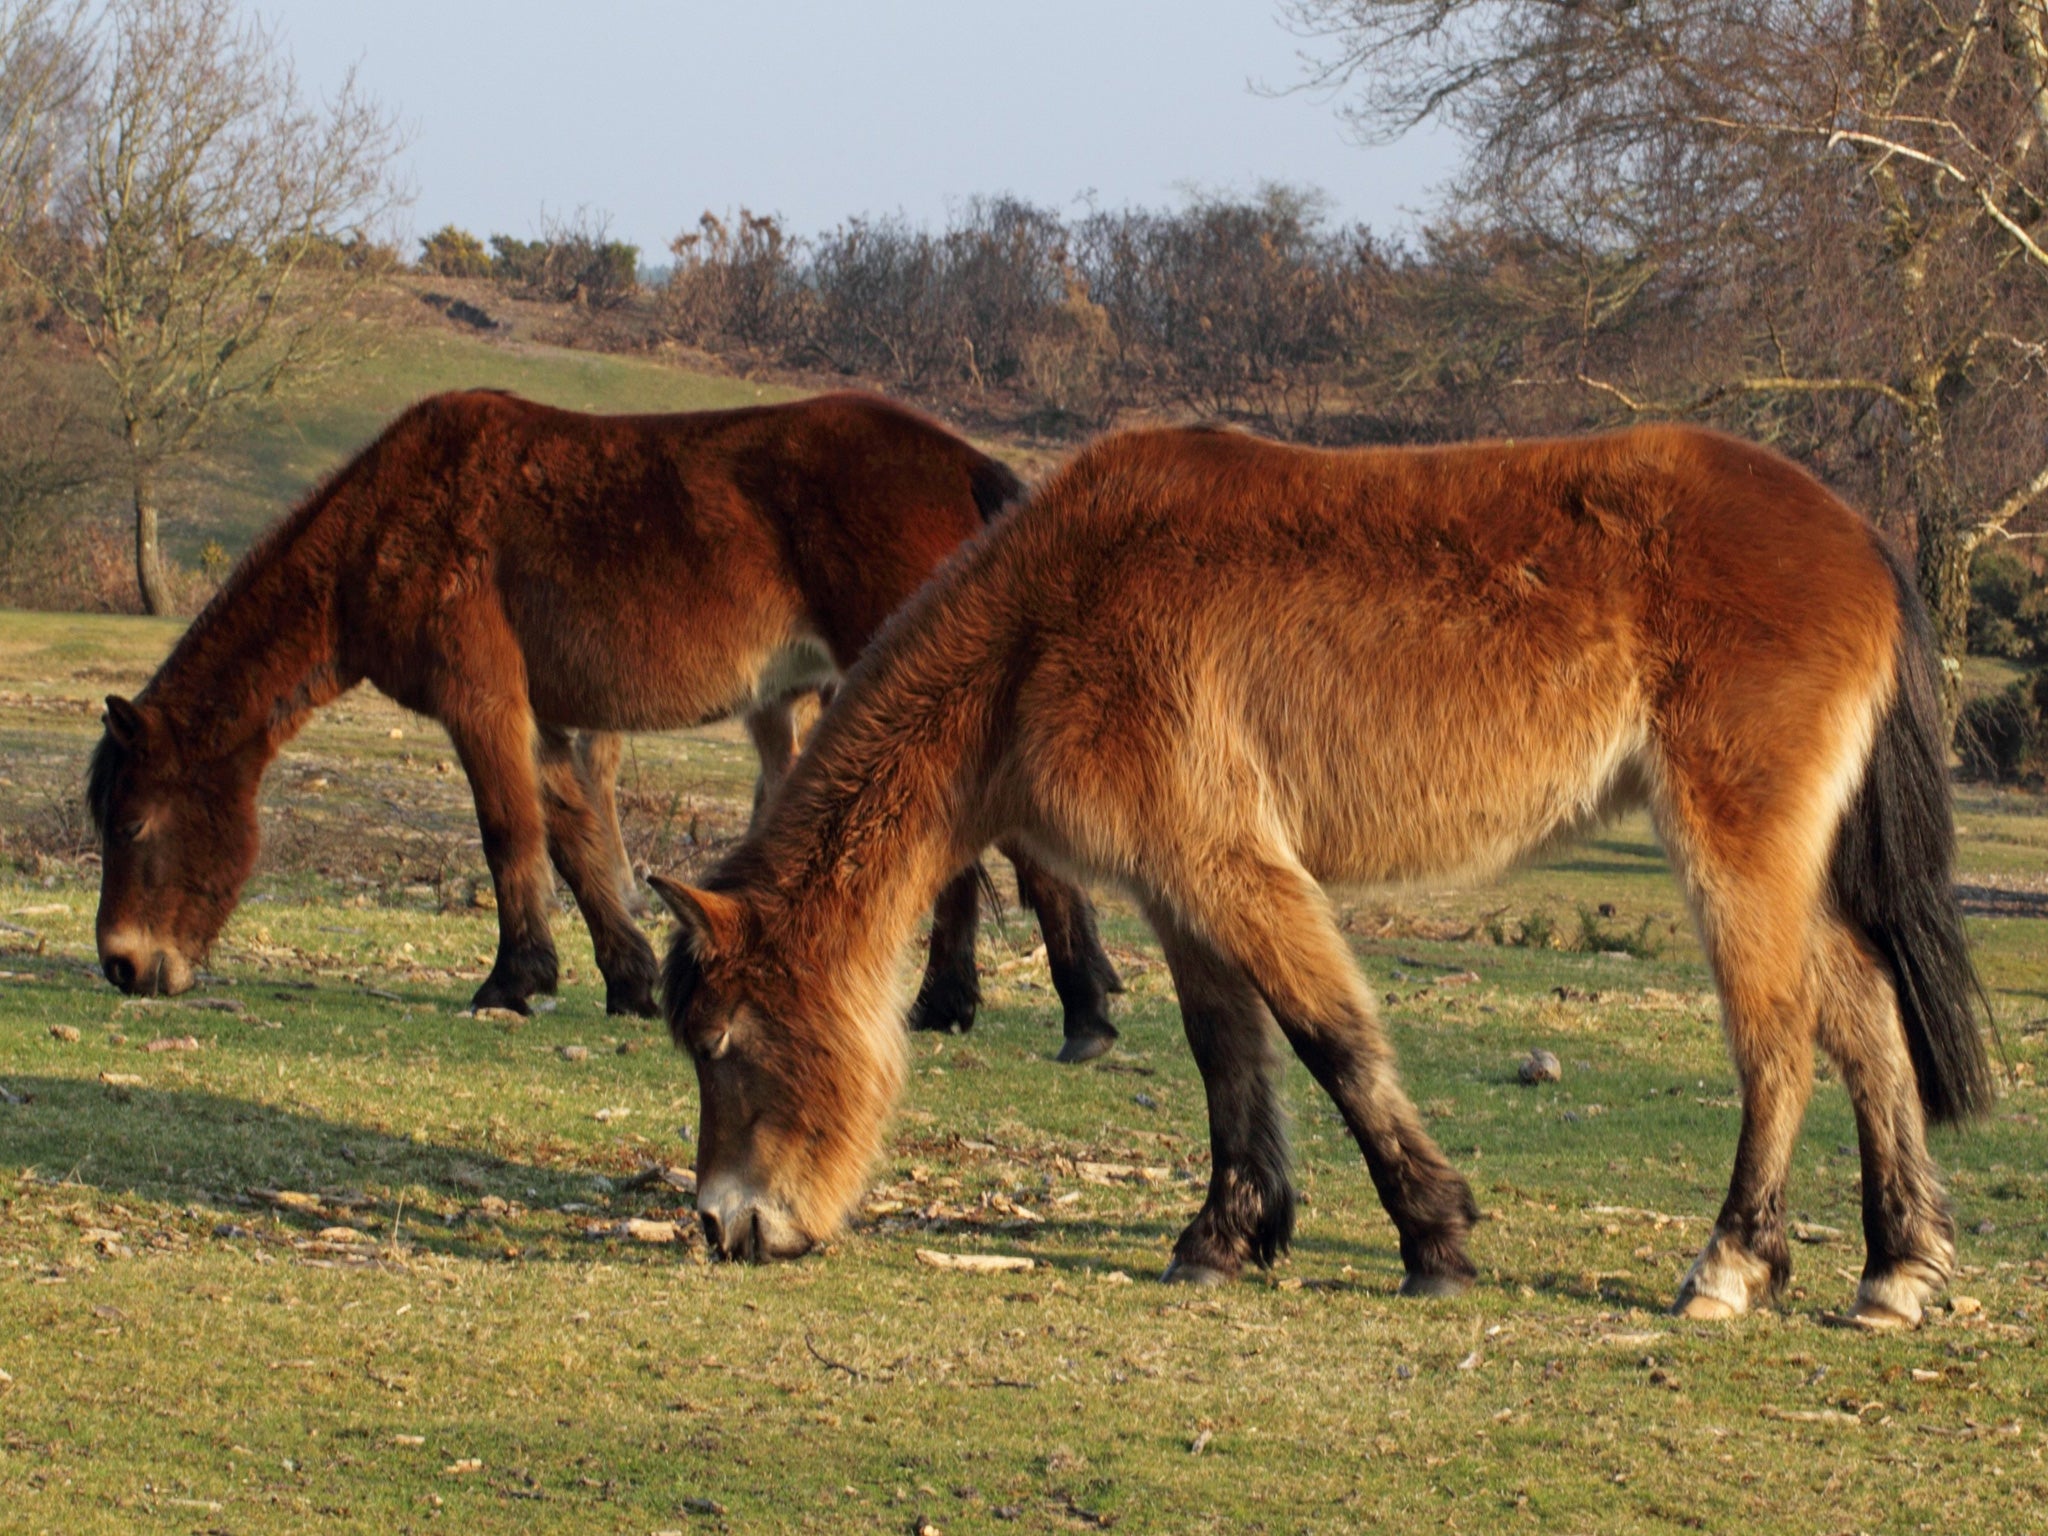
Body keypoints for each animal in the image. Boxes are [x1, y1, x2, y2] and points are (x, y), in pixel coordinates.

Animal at [83, 391, 1122, 1056]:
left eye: (131, 825)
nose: (124, 968)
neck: (392, 522)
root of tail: (959, 461)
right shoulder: (543, 720)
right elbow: (579, 841)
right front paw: (626, 979)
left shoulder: (482, 703)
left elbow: (510, 835)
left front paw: (513, 980)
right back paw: (951, 1005)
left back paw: (1083, 1016)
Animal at [647, 423, 1990, 1335]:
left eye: (725, 1046)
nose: (721, 1226)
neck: (1053, 613)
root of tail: (1859, 537)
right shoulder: (1178, 889)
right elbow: (1226, 1054)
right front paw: (1225, 1234)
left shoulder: (1229, 866)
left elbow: (1330, 1039)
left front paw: (1431, 1240)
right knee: (1864, 1016)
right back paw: (1895, 1269)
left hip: (1733, 850)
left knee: (1776, 1040)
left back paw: (1729, 1263)